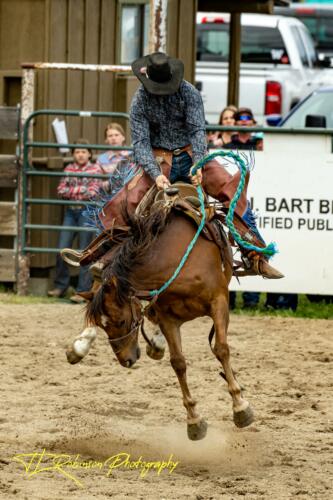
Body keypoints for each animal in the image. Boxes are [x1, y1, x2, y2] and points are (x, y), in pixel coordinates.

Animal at [68, 201, 254, 440]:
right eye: (103, 326)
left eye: (121, 321)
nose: (125, 360)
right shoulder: (168, 318)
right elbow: (178, 363)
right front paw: (194, 420)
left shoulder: (219, 303)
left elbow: (221, 350)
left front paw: (240, 407)